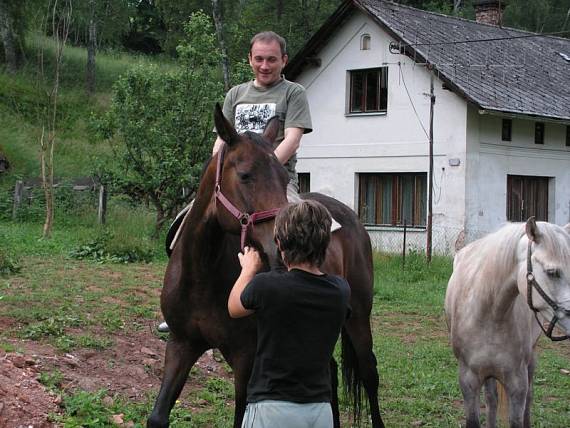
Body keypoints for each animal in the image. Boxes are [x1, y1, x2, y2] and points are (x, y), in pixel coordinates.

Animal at [149, 104, 384, 428]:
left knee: (369, 373)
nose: (281, 249)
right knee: (331, 372)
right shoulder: (181, 344)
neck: (203, 275)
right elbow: (157, 416)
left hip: (359, 317)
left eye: (283, 179)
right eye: (245, 175)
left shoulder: (246, 358)